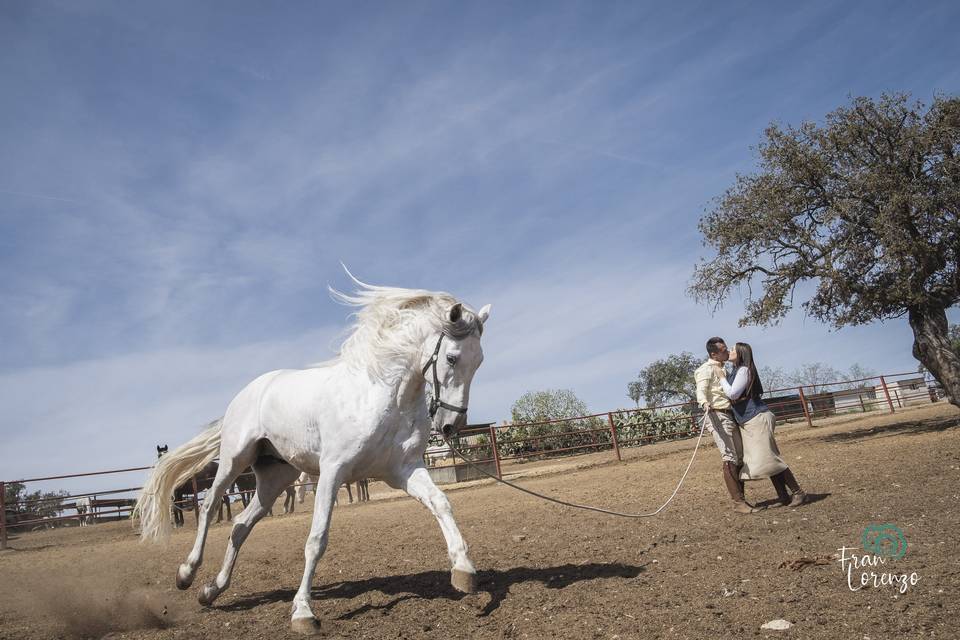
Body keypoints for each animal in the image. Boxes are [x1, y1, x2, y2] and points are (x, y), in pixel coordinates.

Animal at [135, 280, 492, 632]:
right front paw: (303, 613)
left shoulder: (404, 471)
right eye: (451, 358)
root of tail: (250, 391)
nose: (451, 425)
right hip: (234, 461)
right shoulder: (333, 472)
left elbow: (441, 503)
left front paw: (464, 570)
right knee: (209, 507)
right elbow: (317, 539)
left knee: (240, 525)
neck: (382, 396)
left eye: (479, 362)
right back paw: (186, 574)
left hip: (274, 478)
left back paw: (212, 590)